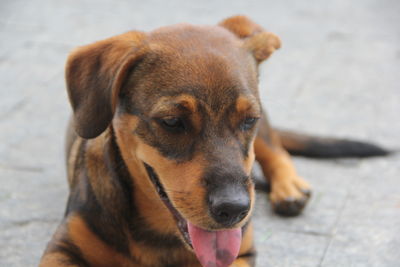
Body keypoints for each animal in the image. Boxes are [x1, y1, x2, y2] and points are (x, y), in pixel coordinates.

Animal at [39, 15, 388, 266]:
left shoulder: (242, 253)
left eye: (248, 120)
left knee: (276, 148)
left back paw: (289, 188)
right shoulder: (63, 247)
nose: (234, 210)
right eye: (172, 122)